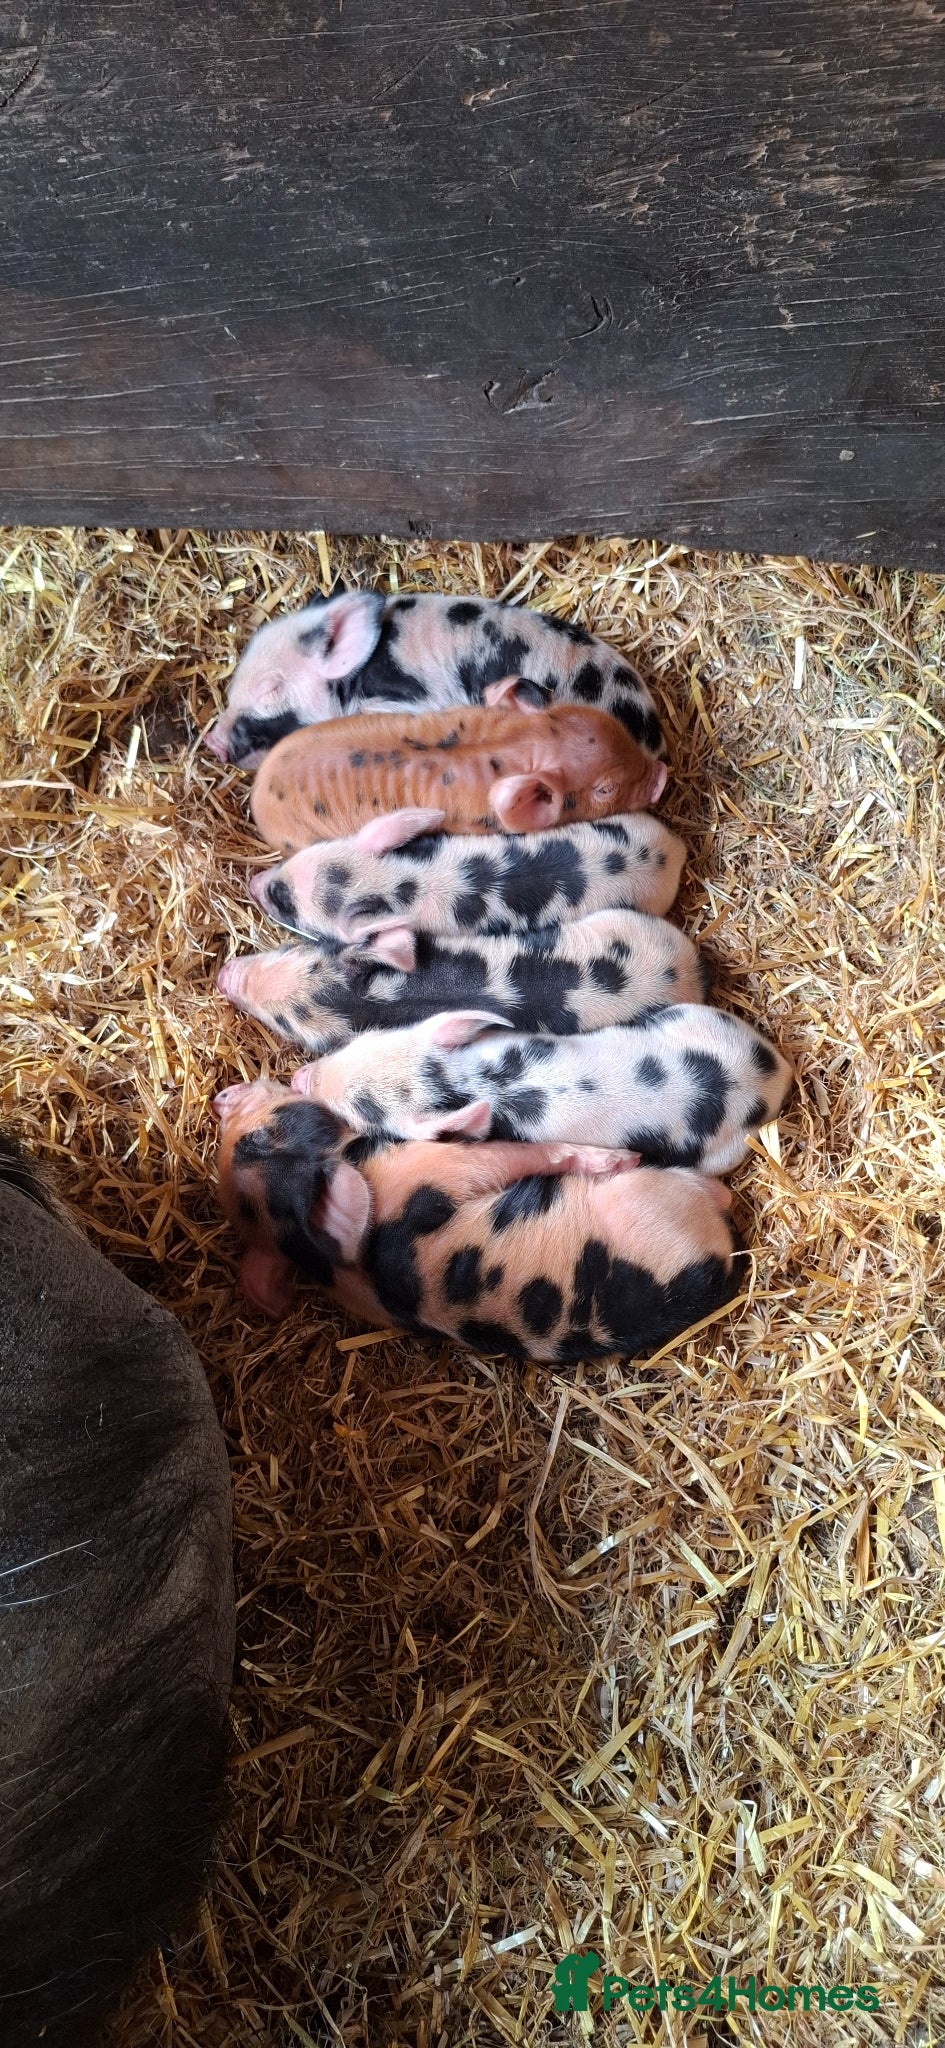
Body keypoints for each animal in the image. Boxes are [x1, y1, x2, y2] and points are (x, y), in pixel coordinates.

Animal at [213, 1080, 742, 1361]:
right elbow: (511, 1156)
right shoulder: (435, 1169)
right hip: (655, 1197)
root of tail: (720, 1262)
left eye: (252, 1139)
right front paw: (607, 1158)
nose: (224, 1098)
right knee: (716, 1192)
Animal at [292, 1003, 791, 1174]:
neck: (466, 1081)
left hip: (721, 1155)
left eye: (363, 1111)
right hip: (700, 1018)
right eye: (364, 1039)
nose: (300, 1079)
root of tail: (777, 1076)